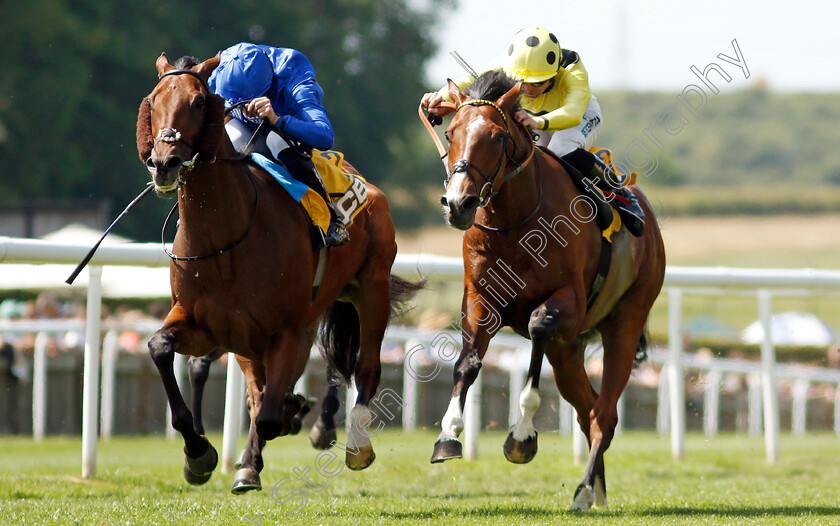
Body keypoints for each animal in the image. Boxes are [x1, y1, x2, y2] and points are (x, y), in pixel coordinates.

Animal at [137, 54, 420, 500]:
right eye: (153, 100)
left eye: (199, 101)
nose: (164, 163)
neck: (228, 240)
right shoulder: (209, 327)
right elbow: (161, 348)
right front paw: (199, 454)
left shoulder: (287, 331)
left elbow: (269, 414)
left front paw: (272, 434)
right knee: (263, 390)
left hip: (370, 289)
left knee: (365, 367)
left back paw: (353, 444)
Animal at [430, 72, 668, 512]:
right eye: (451, 132)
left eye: (497, 136)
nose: (458, 204)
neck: (514, 223)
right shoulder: (479, 300)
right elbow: (467, 363)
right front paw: (448, 435)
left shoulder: (567, 305)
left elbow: (538, 326)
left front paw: (522, 435)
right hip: (568, 350)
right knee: (588, 410)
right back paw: (596, 490)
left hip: (625, 321)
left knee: (605, 414)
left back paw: (584, 490)